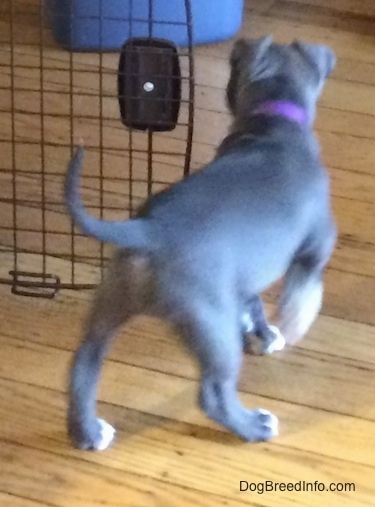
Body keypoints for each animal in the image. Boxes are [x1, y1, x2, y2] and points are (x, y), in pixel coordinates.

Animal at [64, 35, 338, 450]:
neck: (273, 121)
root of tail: (150, 230)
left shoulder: (241, 279)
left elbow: (254, 305)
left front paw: (264, 334)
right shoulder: (316, 245)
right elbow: (304, 291)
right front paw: (292, 322)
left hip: (110, 306)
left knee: (84, 364)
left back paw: (90, 433)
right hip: (213, 329)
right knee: (213, 394)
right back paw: (255, 426)